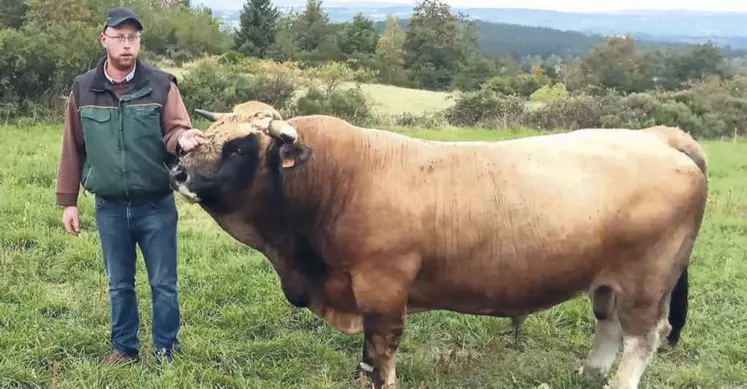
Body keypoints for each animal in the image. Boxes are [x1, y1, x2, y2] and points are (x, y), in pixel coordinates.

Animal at [172, 103, 712, 388]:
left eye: (240, 146)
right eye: (206, 134)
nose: (178, 172)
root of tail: (656, 136)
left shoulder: (382, 287)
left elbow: (380, 351)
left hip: (647, 281)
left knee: (643, 336)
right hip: (608, 280)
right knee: (608, 324)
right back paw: (589, 373)